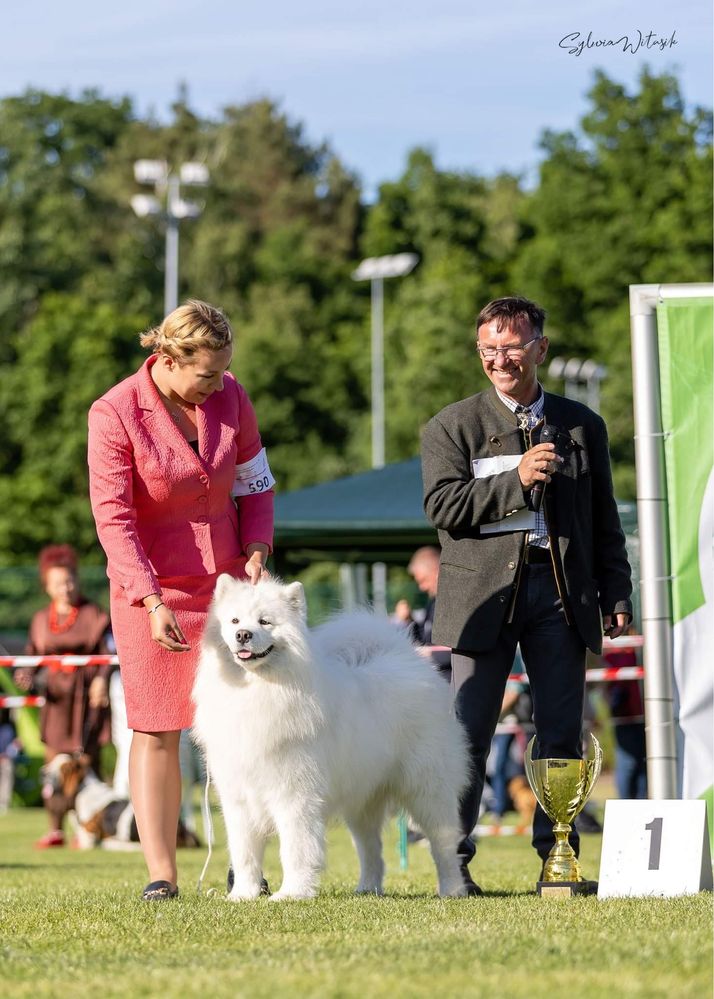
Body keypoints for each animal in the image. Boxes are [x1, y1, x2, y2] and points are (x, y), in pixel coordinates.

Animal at [191, 576, 468, 904]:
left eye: (264, 621)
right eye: (234, 620)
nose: (243, 635)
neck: (257, 691)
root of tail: (410, 661)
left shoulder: (295, 796)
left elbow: (295, 849)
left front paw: (292, 894)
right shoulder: (238, 798)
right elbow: (244, 853)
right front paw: (242, 895)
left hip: (427, 790)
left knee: (444, 844)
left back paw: (453, 889)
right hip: (363, 800)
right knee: (371, 849)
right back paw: (368, 889)